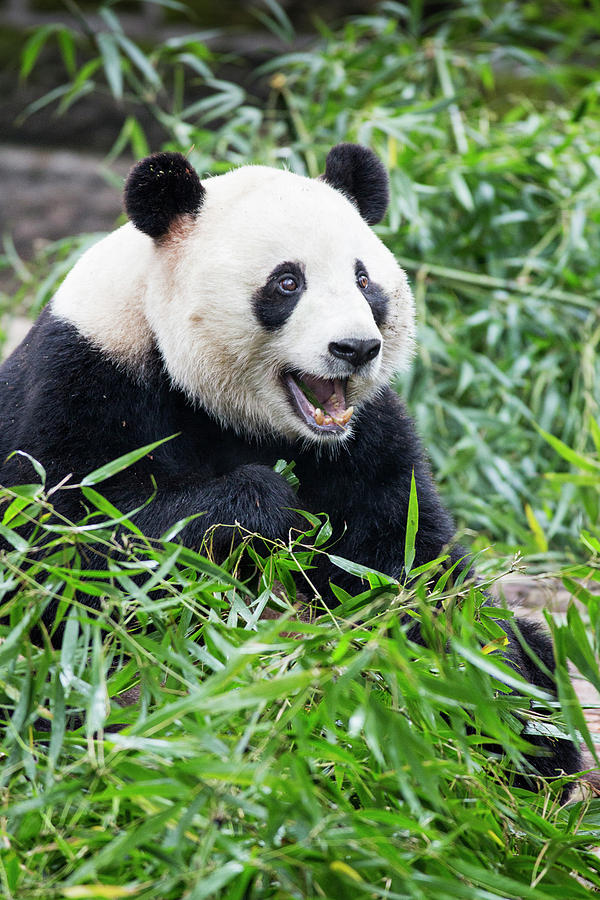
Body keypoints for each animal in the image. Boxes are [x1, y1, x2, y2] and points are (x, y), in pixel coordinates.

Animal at [0, 142, 580, 788]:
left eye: (363, 279)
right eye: (287, 282)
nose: (355, 348)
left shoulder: (362, 435)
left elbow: (410, 563)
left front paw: (495, 710)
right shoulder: (88, 380)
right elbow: (68, 546)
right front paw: (266, 506)